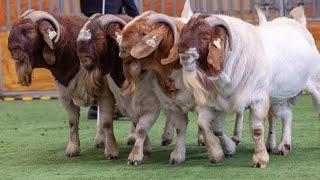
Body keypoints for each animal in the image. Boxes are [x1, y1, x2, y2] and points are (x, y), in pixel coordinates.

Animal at [7, 10, 117, 158]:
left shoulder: (105, 94)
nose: (12, 50)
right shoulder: (67, 96)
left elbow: (106, 122)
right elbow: (72, 123)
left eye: (28, 30)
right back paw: (100, 140)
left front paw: (111, 151)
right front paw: (73, 149)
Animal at [76, 13, 176, 164]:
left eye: (98, 36)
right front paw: (112, 151)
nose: (82, 58)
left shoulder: (151, 103)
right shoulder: (112, 97)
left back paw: (168, 136)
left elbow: (142, 127)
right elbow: (108, 123)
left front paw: (137, 155)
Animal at [179, 9, 320, 168]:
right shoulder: (215, 101)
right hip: (278, 96)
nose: (183, 53)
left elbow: (257, 129)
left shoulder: (258, 99)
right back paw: (284, 146)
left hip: (315, 84)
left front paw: (260, 159)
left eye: (205, 36)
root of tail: (296, 23)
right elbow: (206, 125)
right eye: (184, 31)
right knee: (287, 114)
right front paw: (219, 153)